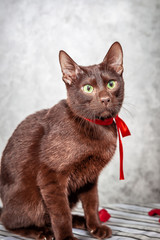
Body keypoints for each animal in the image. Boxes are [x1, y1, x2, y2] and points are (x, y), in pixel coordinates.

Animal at [0, 42, 124, 239]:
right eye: (88, 88)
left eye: (111, 84)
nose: (105, 99)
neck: (97, 127)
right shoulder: (51, 175)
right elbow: (60, 212)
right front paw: (66, 236)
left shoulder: (90, 176)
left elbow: (92, 203)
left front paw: (95, 226)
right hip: (31, 199)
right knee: (9, 221)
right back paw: (41, 232)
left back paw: (80, 221)